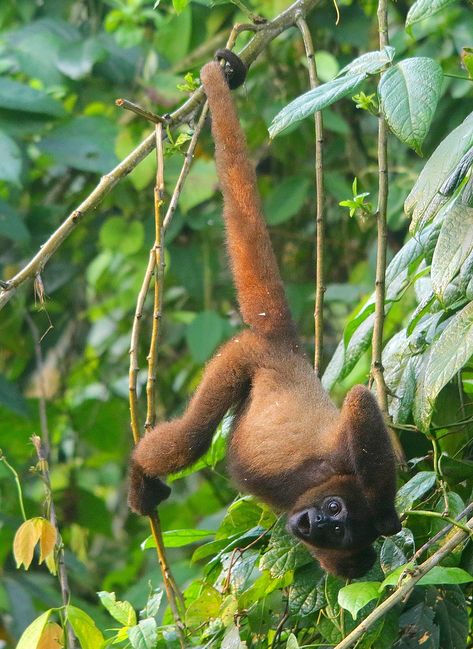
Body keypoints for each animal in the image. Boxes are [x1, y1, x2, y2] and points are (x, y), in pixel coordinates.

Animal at [127, 52, 400, 576]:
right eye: (333, 509)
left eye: (338, 526)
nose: (317, 523)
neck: (313, 486)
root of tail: (286, 346)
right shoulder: (338, 457)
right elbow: (360, 403)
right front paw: (388, 516)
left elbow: (351, 568)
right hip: (239, 357)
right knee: (190, 440)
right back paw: (139, 473)